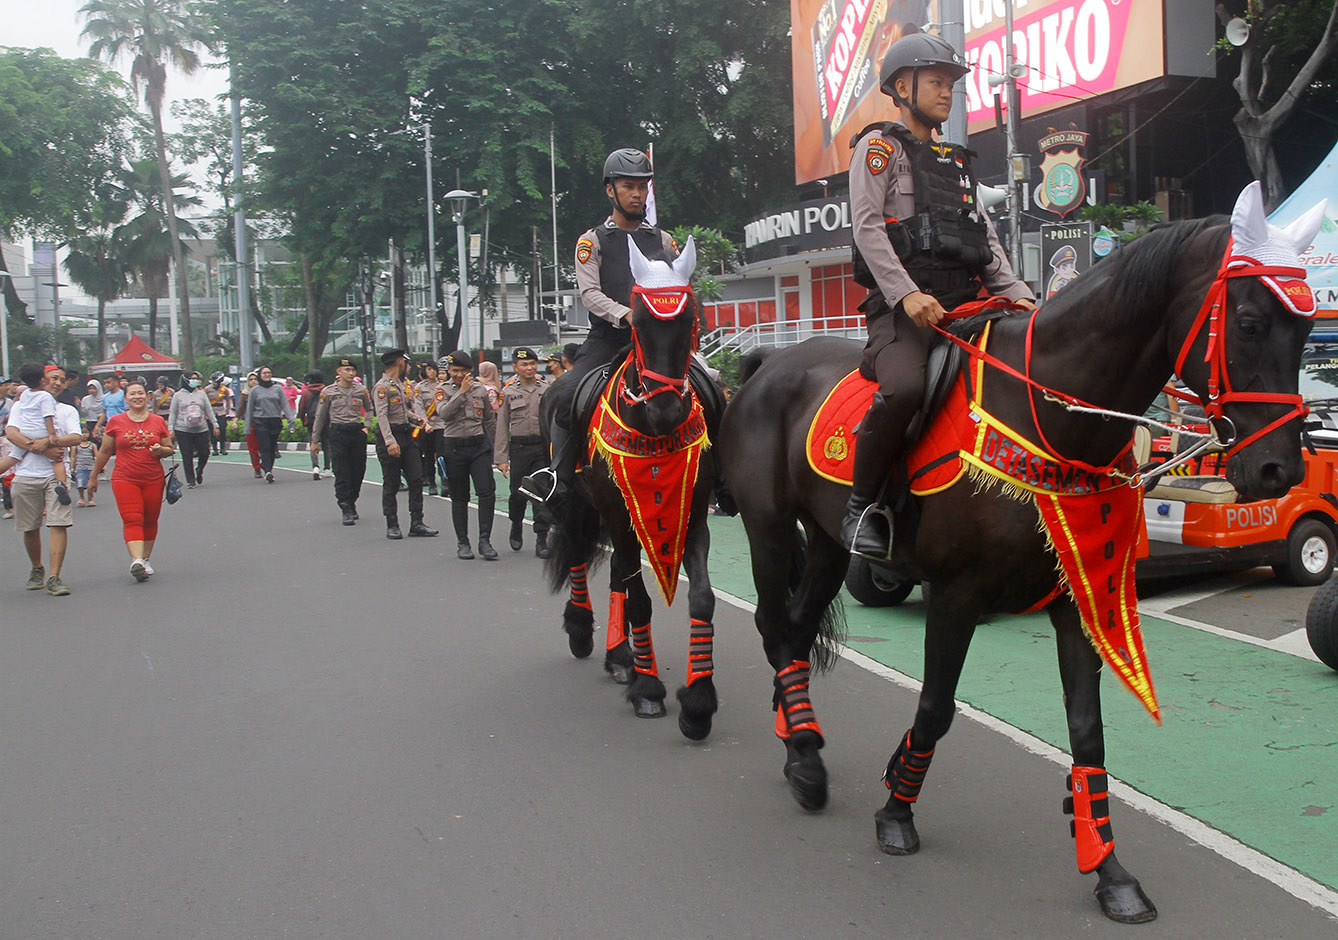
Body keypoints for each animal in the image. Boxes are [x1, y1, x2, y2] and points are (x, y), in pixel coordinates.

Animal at [717, 180, 1321, 925]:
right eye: (1250, 323)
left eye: (1305, 331)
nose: (1280, 469)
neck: (1048, 414)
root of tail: (769, 362)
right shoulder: (955, 595)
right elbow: (935, 708)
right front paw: (896, 812)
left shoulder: (1078, 595)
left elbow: (1088, 731)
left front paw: (1109, 871)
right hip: (771, 531)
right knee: (775, 628)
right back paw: (804, 760)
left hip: (828, 545)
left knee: (797, 632)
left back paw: (797, 744)